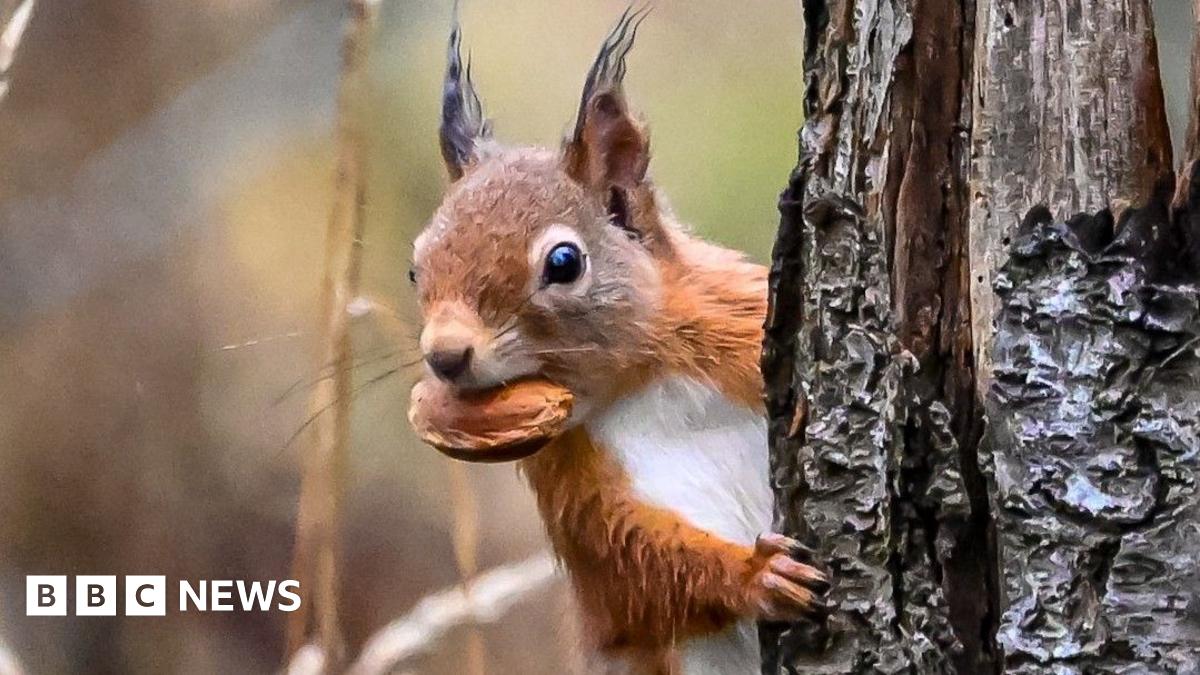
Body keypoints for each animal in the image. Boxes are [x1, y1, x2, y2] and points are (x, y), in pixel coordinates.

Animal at [411, 9, 829, 674]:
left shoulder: (738, 326)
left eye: (564, 262)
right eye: (414, 268)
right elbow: (636, 567)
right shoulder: (575, 489)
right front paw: (758, 575)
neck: (641, 379)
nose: (445, 355)